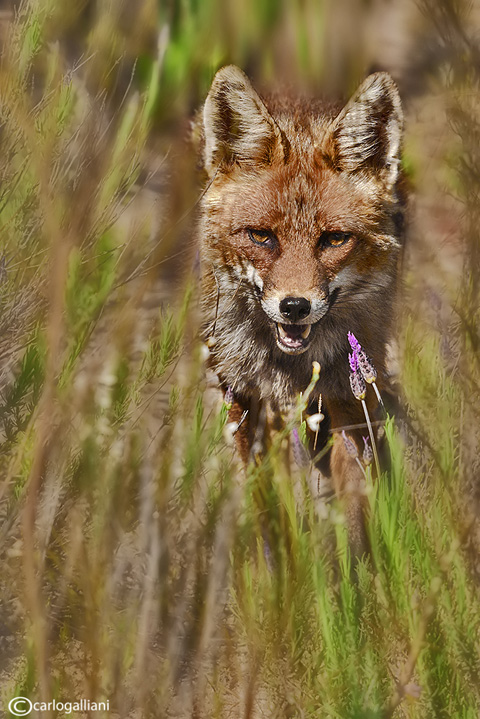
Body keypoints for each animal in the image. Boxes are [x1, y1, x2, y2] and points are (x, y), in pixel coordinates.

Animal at [199, 67, 404, 552]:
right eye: (261, 236)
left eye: (333, 239)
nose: (295, 306)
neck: (294, 370)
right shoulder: (249, 405)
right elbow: (268, 504)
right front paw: (278, 564)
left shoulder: (349, 400)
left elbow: (356, 504)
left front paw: (354, 567)